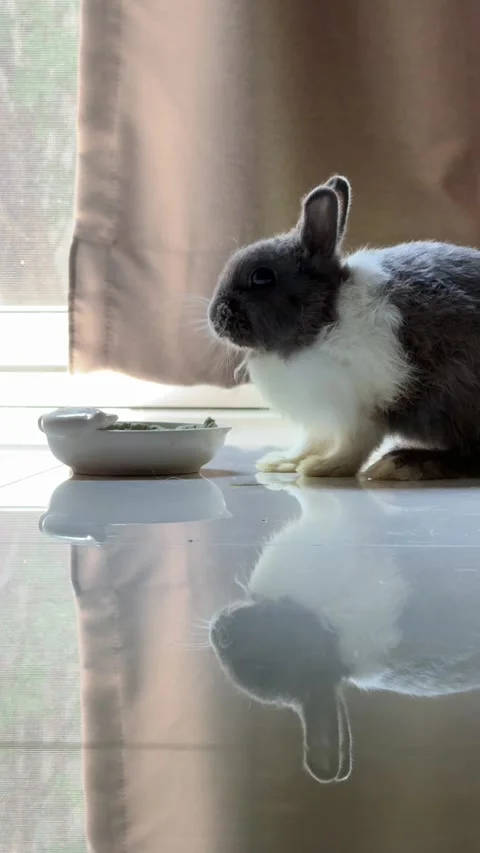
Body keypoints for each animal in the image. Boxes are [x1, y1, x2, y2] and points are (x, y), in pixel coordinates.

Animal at [208, 175, 480, 480]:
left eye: (262, 277)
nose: (215, 318)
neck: (322, 319)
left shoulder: (358, 408)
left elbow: (353, 446)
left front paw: (321, 468)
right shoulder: (320, 417)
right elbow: (311, 442)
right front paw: (281, 462)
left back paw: (404, 463)